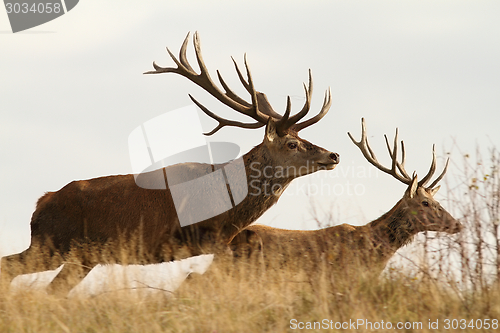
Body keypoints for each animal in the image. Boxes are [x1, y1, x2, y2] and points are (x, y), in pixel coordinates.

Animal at [0, 32, 340, 294]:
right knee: (12, 268)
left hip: (80, 255)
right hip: (53, 243)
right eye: (292, 144)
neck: (229, 207)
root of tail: (40, 205)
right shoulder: (202, 236)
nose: (333, 155)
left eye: (302, 136)